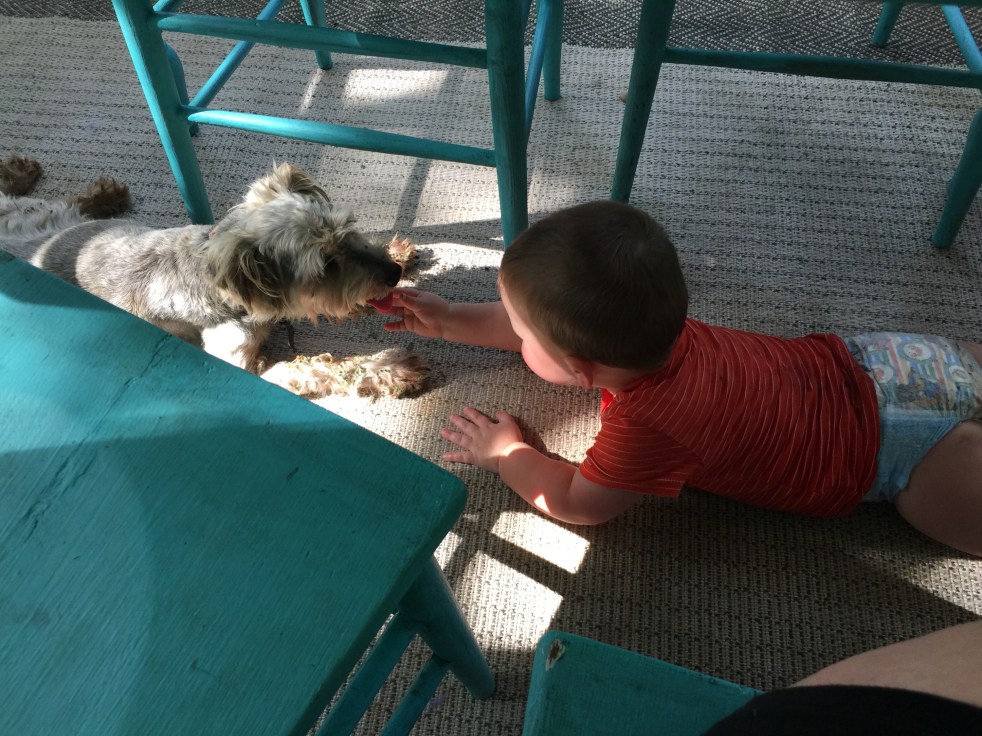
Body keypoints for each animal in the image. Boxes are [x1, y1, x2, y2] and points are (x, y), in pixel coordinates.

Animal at [0, 155, 428, 399]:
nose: (392, 274)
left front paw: (398, 251)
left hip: (54, 216)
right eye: (326, 265)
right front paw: (393, 369)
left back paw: (94, 193)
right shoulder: (235, 363)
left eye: (348, 229)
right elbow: (311, 365)